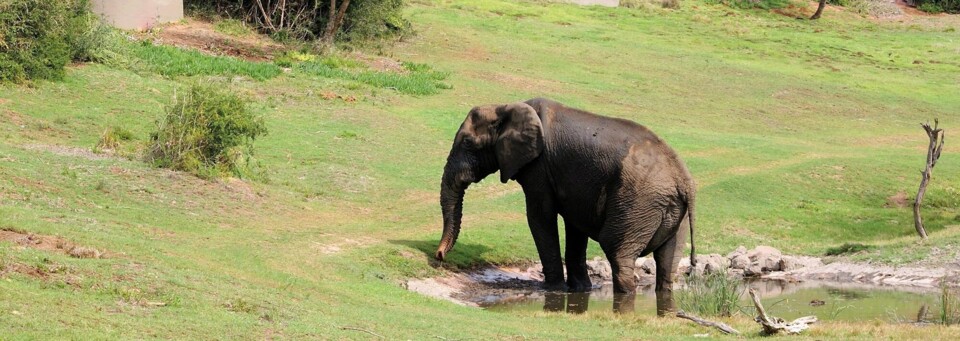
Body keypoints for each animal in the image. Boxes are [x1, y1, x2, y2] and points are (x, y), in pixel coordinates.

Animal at [436, 97, 696, 314]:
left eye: (468, 143)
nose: (439, 257)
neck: (507, 106)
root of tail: (683, 180)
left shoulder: (538, 166)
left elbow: (540, 216)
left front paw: (552, 288)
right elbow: (575, 225)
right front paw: (580, 289)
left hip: (637, 202)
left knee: (617, 251)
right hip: (672, 211)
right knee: (667, 261)